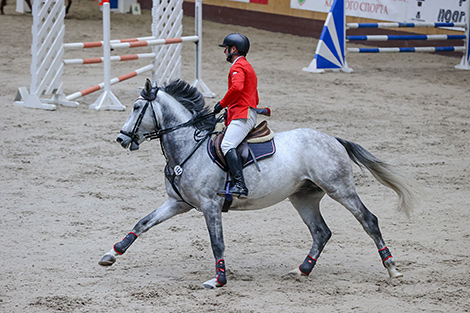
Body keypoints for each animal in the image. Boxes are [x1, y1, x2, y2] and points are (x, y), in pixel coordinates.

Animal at [100, 78, 418, 288]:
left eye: (137, 106)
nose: (121, 139)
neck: (189, 148)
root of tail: (333, 139)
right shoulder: (178, 203)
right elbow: (143, 223)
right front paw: (111, 254)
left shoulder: (210, 206)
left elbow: (217, 243)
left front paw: (219, 279)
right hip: (303, 197)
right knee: (321, 232)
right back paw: (303, 270)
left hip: (340, 189)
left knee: (368, 220)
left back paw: (392, 269)